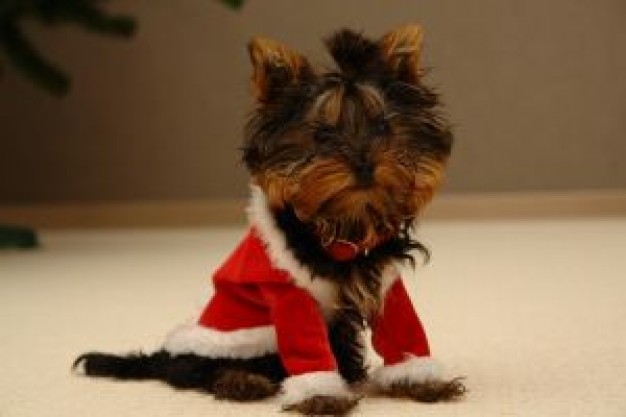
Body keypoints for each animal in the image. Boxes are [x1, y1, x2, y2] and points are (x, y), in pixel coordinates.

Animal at [73, 24, 464, 414]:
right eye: (322, 134)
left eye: (383, 127)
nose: (364, 164)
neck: (346, 223)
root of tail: (165, 354)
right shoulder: (289, 296)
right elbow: (307, 352)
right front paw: (321, 395)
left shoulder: (386, 283)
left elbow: (404, 334)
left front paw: (422, 380)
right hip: (229, 341)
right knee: (200, 371)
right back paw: (243, 381)